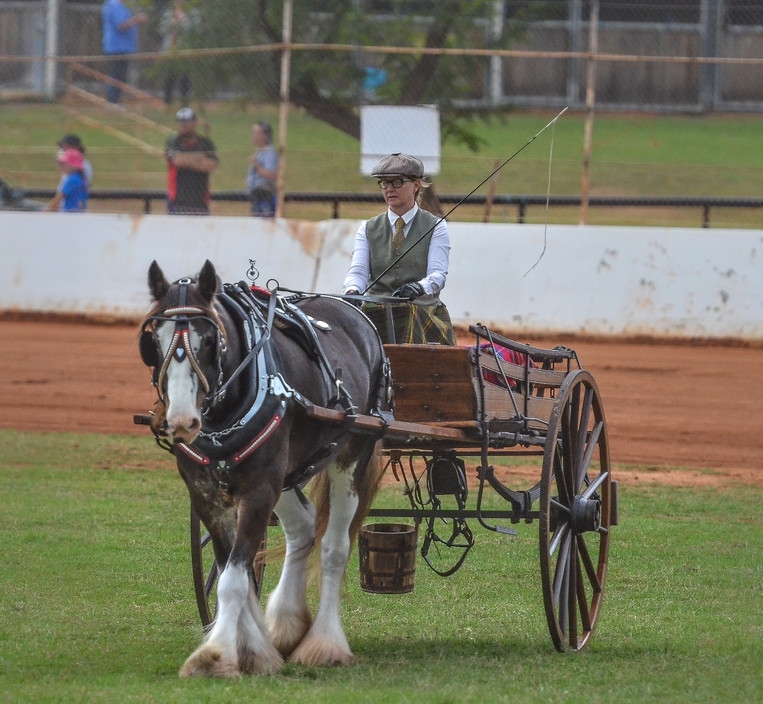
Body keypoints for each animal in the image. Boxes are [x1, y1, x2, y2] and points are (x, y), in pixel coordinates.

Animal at [139, 260, 388, 676]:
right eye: (153, 341)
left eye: (211, 339)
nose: (182, 422)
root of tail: (357, 315)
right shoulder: (207, 495)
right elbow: (231, 569)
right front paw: (252, 646)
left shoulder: (258, 491)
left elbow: (233, 580)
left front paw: (216, 653)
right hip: (287, 474)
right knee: (303, 527)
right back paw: (287, 623)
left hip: (350, 455)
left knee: (334, 547)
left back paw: (325, 642)